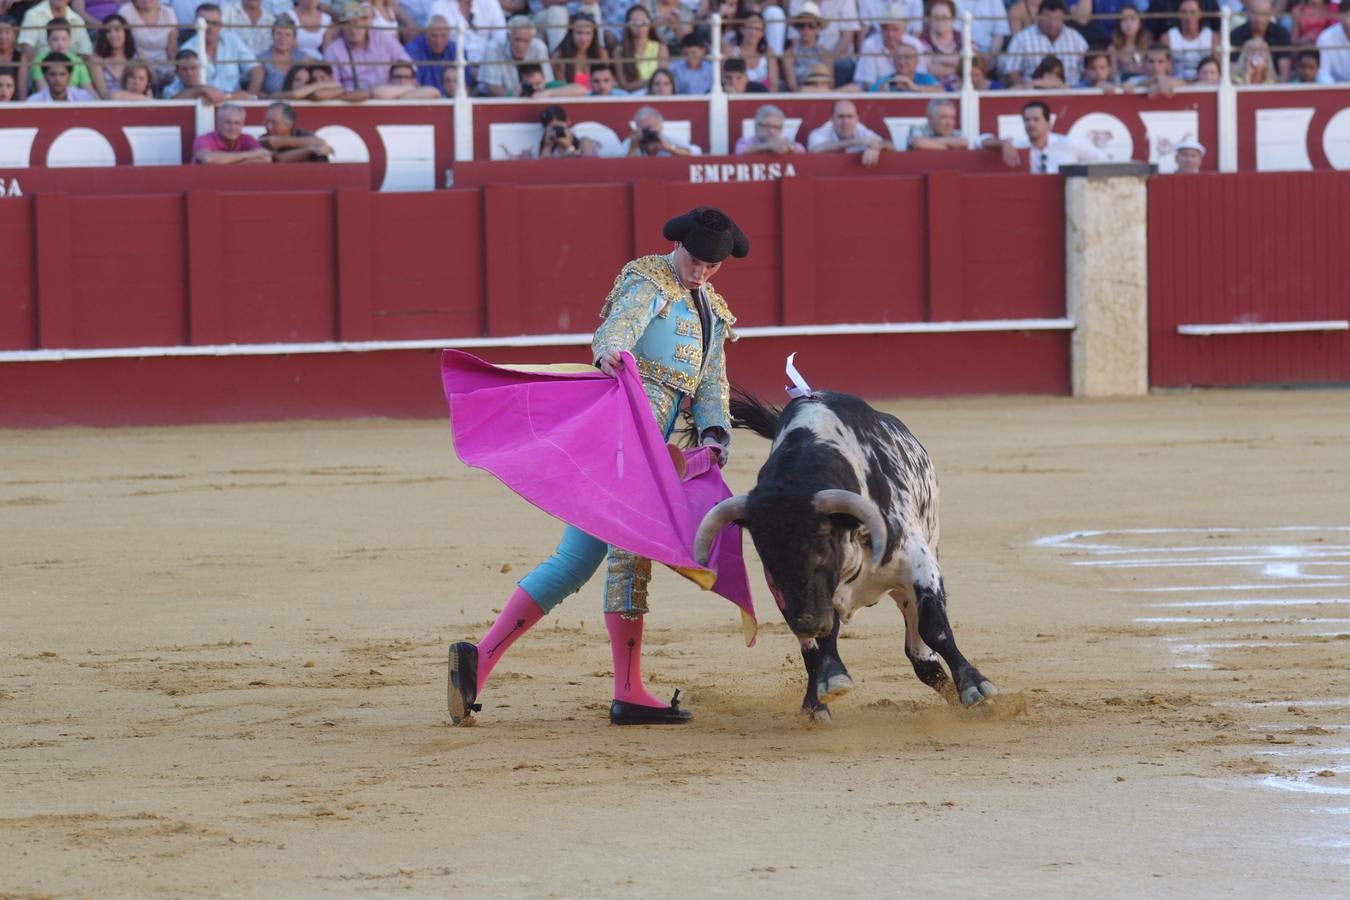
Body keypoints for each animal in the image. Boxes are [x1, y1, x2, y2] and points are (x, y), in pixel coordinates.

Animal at [696, 391, 993, 723]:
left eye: (823, 548)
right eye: (766, 555)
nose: (807, 623)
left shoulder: (919, 566)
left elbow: (935, 627)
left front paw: (975, 687)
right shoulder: (792, 595)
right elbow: (822, 641)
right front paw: (828, 686)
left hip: (911, 580)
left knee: (922, 656)